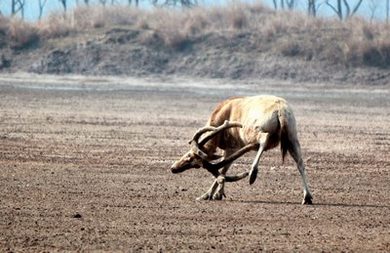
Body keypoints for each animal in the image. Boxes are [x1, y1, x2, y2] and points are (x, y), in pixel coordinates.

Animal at [171, 94, 314, 205]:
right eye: (196, 165)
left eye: (189, 156)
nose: (173, 168)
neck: (223, 112)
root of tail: (281, 111)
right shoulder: (233, 148)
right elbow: (224, 168)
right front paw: (216, 194)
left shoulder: (232, 147)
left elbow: (223, 169)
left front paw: (208, 195)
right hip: (292, 137)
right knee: (300, 163)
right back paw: (307, 197)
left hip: (254, 130)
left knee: (263, 139)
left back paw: (252, 173)